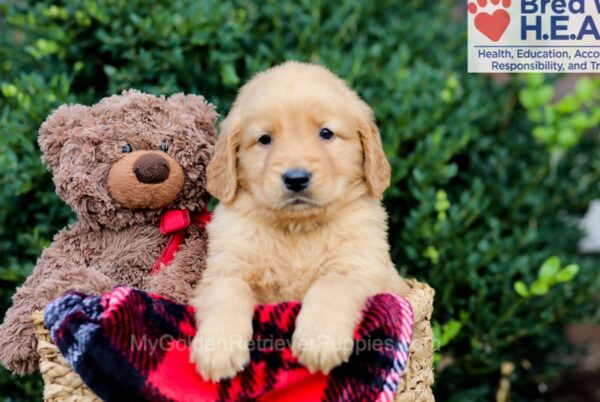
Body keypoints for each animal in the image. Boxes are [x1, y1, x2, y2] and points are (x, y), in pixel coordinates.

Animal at [190, 61, 410, 382]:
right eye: (264, 139)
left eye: (326, 133)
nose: (296, 178)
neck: (298, 230)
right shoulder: (221, 270)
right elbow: (228, 289)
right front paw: (217, 348)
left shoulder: (368, 272)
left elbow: (333, 282)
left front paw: (320, 339)